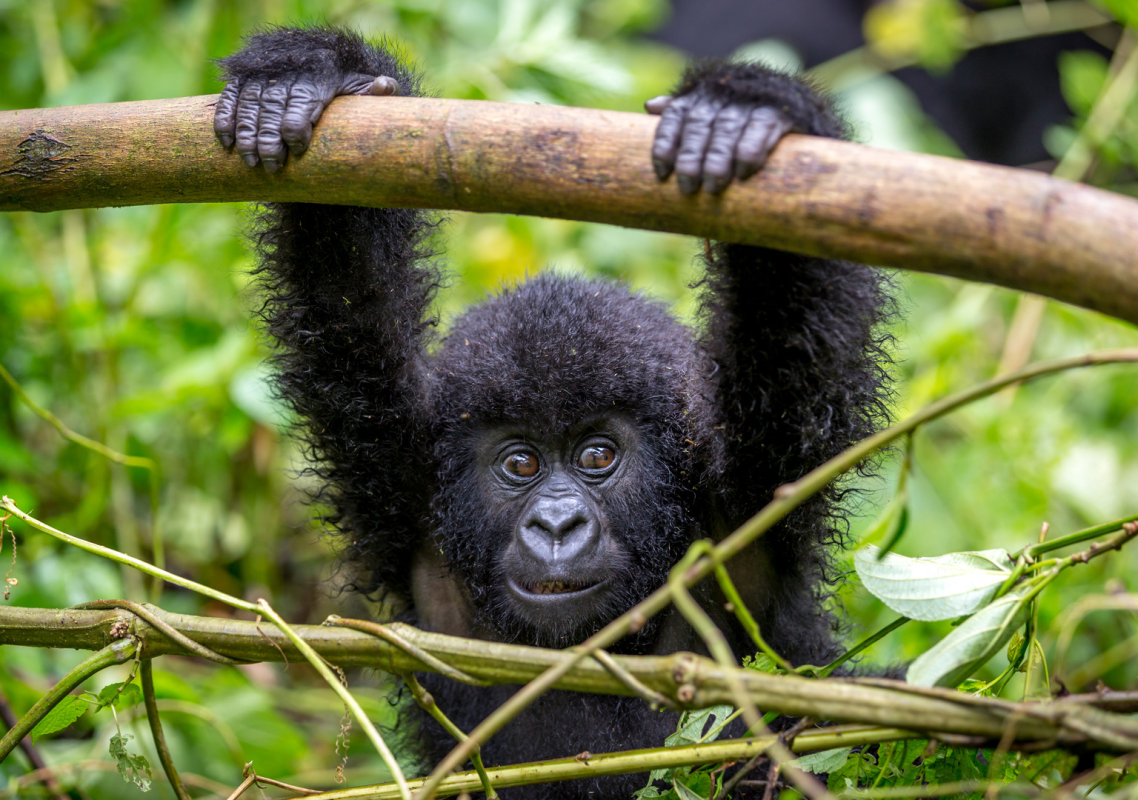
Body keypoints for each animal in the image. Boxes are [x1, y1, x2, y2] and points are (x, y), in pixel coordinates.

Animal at [213, 26, 887, 800]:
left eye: (598, 456)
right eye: (521, 462)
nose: (558, 524)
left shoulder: (750, 494)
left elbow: (791, 321)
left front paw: (745, 109)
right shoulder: (403, 480)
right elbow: (347, 297)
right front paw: (309, 76)